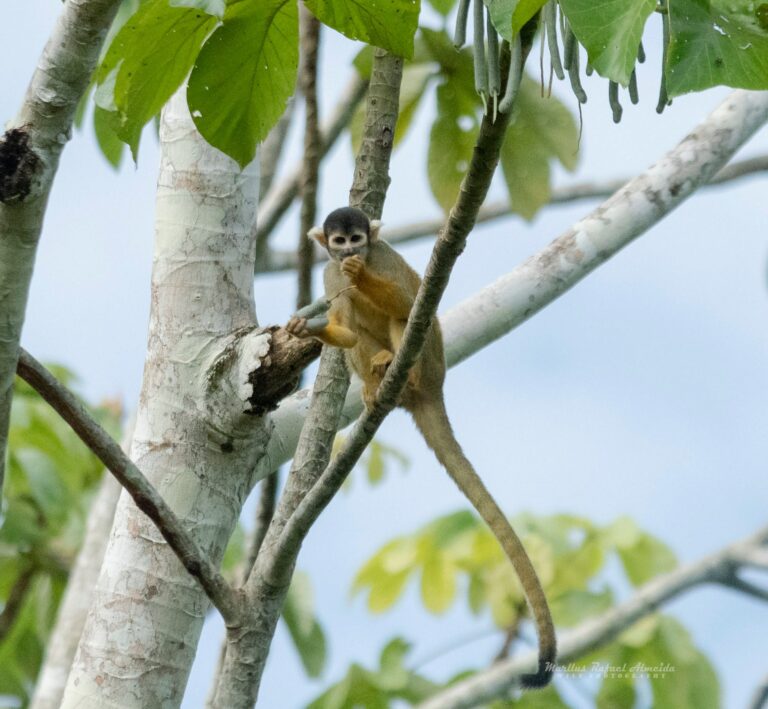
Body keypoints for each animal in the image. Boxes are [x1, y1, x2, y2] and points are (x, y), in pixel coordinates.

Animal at [286, 206, 556, 687]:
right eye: (338, 241)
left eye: (358, 238)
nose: (351, 252)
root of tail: (435, 385)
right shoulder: (328, 273)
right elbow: (343, 323)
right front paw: (306, 329)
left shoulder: (383, 258)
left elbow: (406, 303)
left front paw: (363, 278)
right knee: (357, 332)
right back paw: (375, 378)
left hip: (428, 357)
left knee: (413, 317)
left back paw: (397, 369)